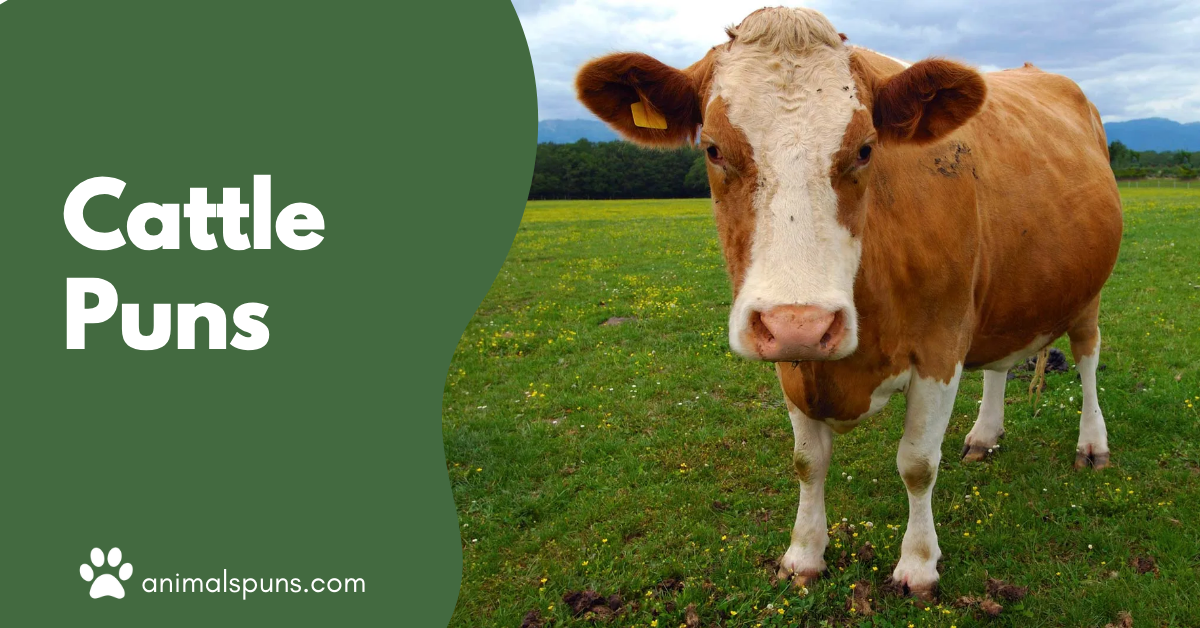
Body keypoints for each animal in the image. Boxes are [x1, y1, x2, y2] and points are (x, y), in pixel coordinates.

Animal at [575, 6, 1121, 597]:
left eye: (865, 148)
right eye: (713, 148)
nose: (801, 324)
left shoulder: (940, 344)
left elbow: (917, 464)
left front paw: (918, 563)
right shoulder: (793, 362)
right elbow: (807, 462)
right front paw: (803, 553)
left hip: (1087, 292)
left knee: (1088, 357)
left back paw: (1092, 445)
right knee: (1000, 363)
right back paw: (984, 435)